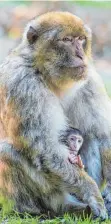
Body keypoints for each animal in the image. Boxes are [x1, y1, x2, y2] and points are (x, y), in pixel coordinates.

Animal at [0, 10, 108, 219]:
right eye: (66, 40)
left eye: (81, 39)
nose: (80, 54)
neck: (48, 75)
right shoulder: (24, 83)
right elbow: (46, 149)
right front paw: (93, 193)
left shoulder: (89, 80)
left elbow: (103, 135)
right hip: (51, 194)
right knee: (6, 151)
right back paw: (36, 210)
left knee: (91, 137)